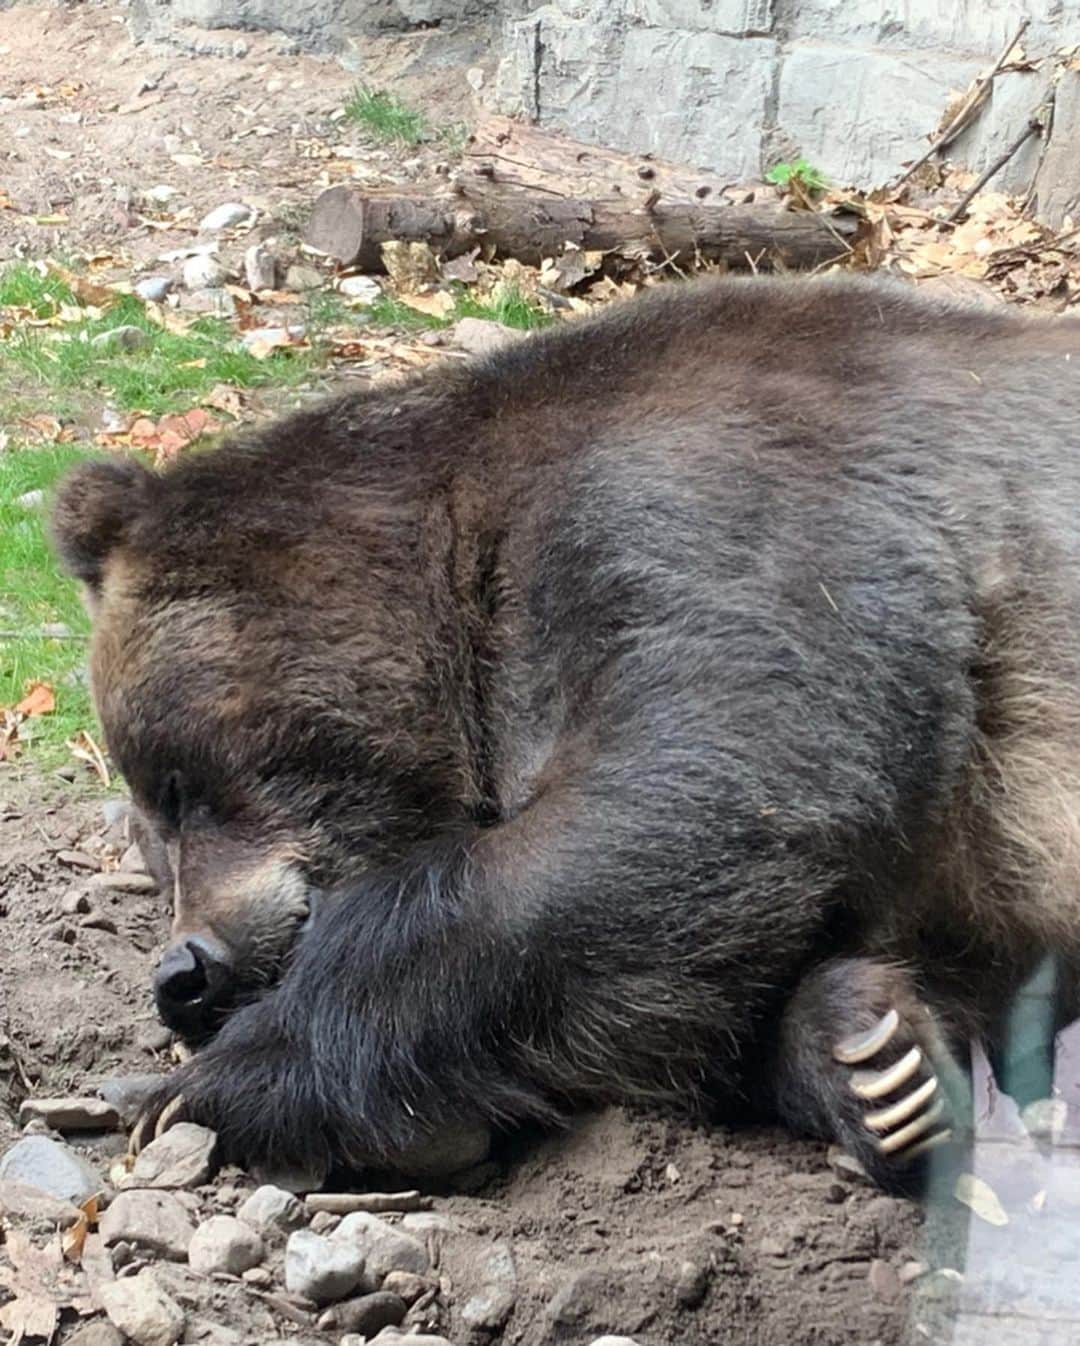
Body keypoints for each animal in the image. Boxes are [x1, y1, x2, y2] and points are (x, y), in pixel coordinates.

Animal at [50, 273, 1080, 1189]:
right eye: (151, 844)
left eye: (176, 782)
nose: (183, 974)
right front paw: (874, 1057)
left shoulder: (733, 515)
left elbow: (690, 795)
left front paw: (197, 1085)